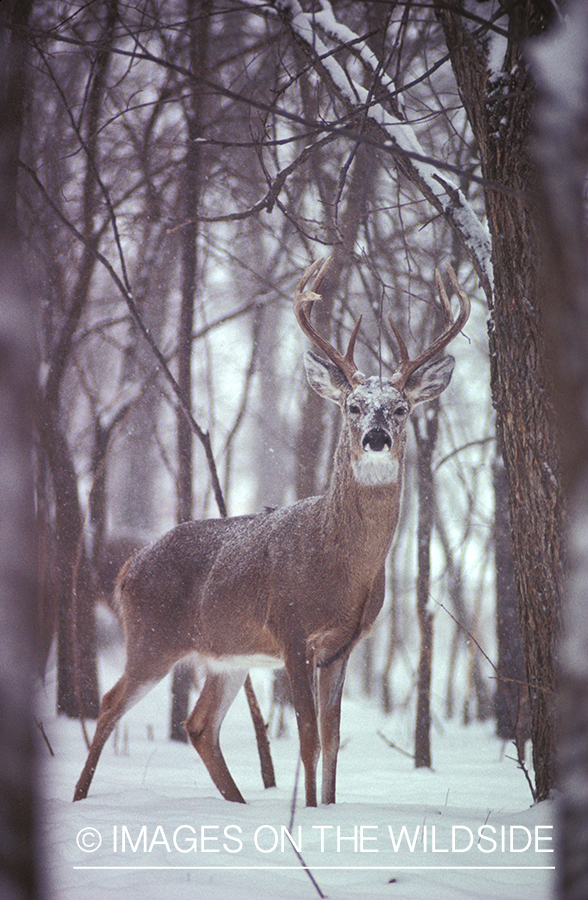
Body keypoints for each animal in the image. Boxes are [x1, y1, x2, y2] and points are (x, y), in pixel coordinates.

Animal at [73, 258, 468, 808]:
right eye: (352, 405)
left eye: (401, 408)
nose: (376, 438)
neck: (342, 567)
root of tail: (129, 567)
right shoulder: (291, 629)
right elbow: (306, 736)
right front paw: (309, 811)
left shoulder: (342, 645)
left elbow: (332, 739)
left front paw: (328, 808)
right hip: (152, 637)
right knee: (110, 703)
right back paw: (80, 798)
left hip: (225, 655)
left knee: (199, 724)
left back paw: (237, 803)